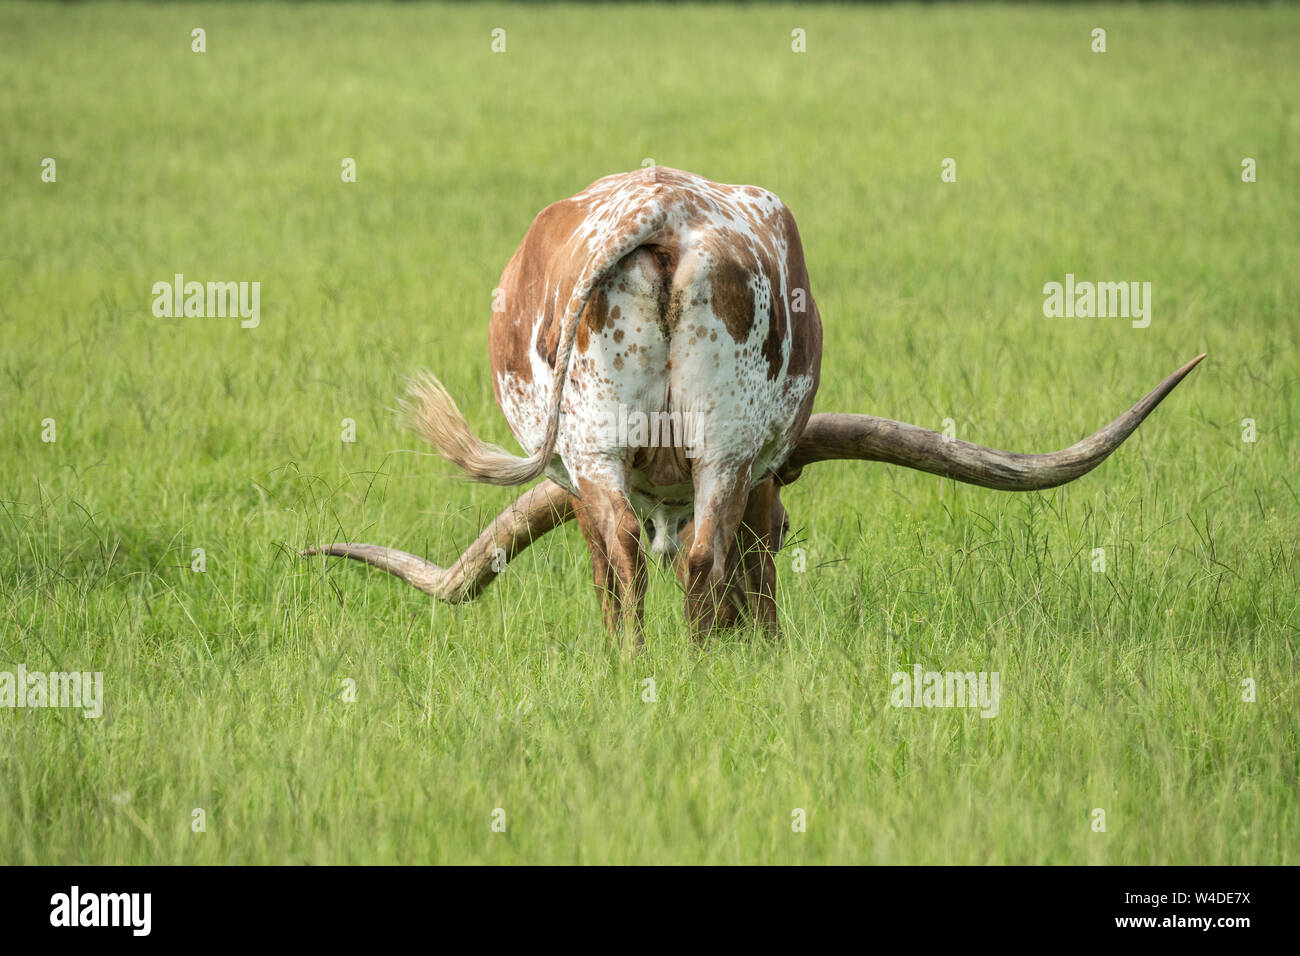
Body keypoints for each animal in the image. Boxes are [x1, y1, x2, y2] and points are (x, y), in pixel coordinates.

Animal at [306, 166, 1206, 650]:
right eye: (784, 528)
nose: (769, 641)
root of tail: (661, 211)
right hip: (706, 446)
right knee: (677, 558)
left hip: (639, 446)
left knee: (646, 557)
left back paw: (651, 669)